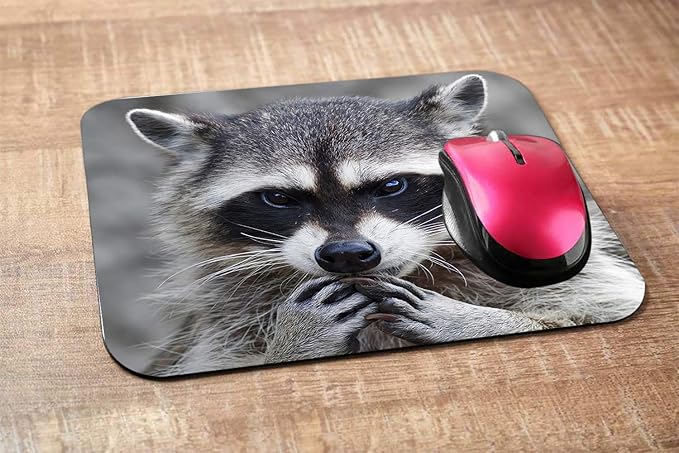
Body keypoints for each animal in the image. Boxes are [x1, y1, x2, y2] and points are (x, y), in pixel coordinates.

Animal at [126, 75, 644, 376]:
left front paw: (477, 320)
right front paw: (294, 339)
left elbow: (593, 306)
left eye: (392, 186)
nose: (347, 254)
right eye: (278, 198)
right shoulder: (223, 323)